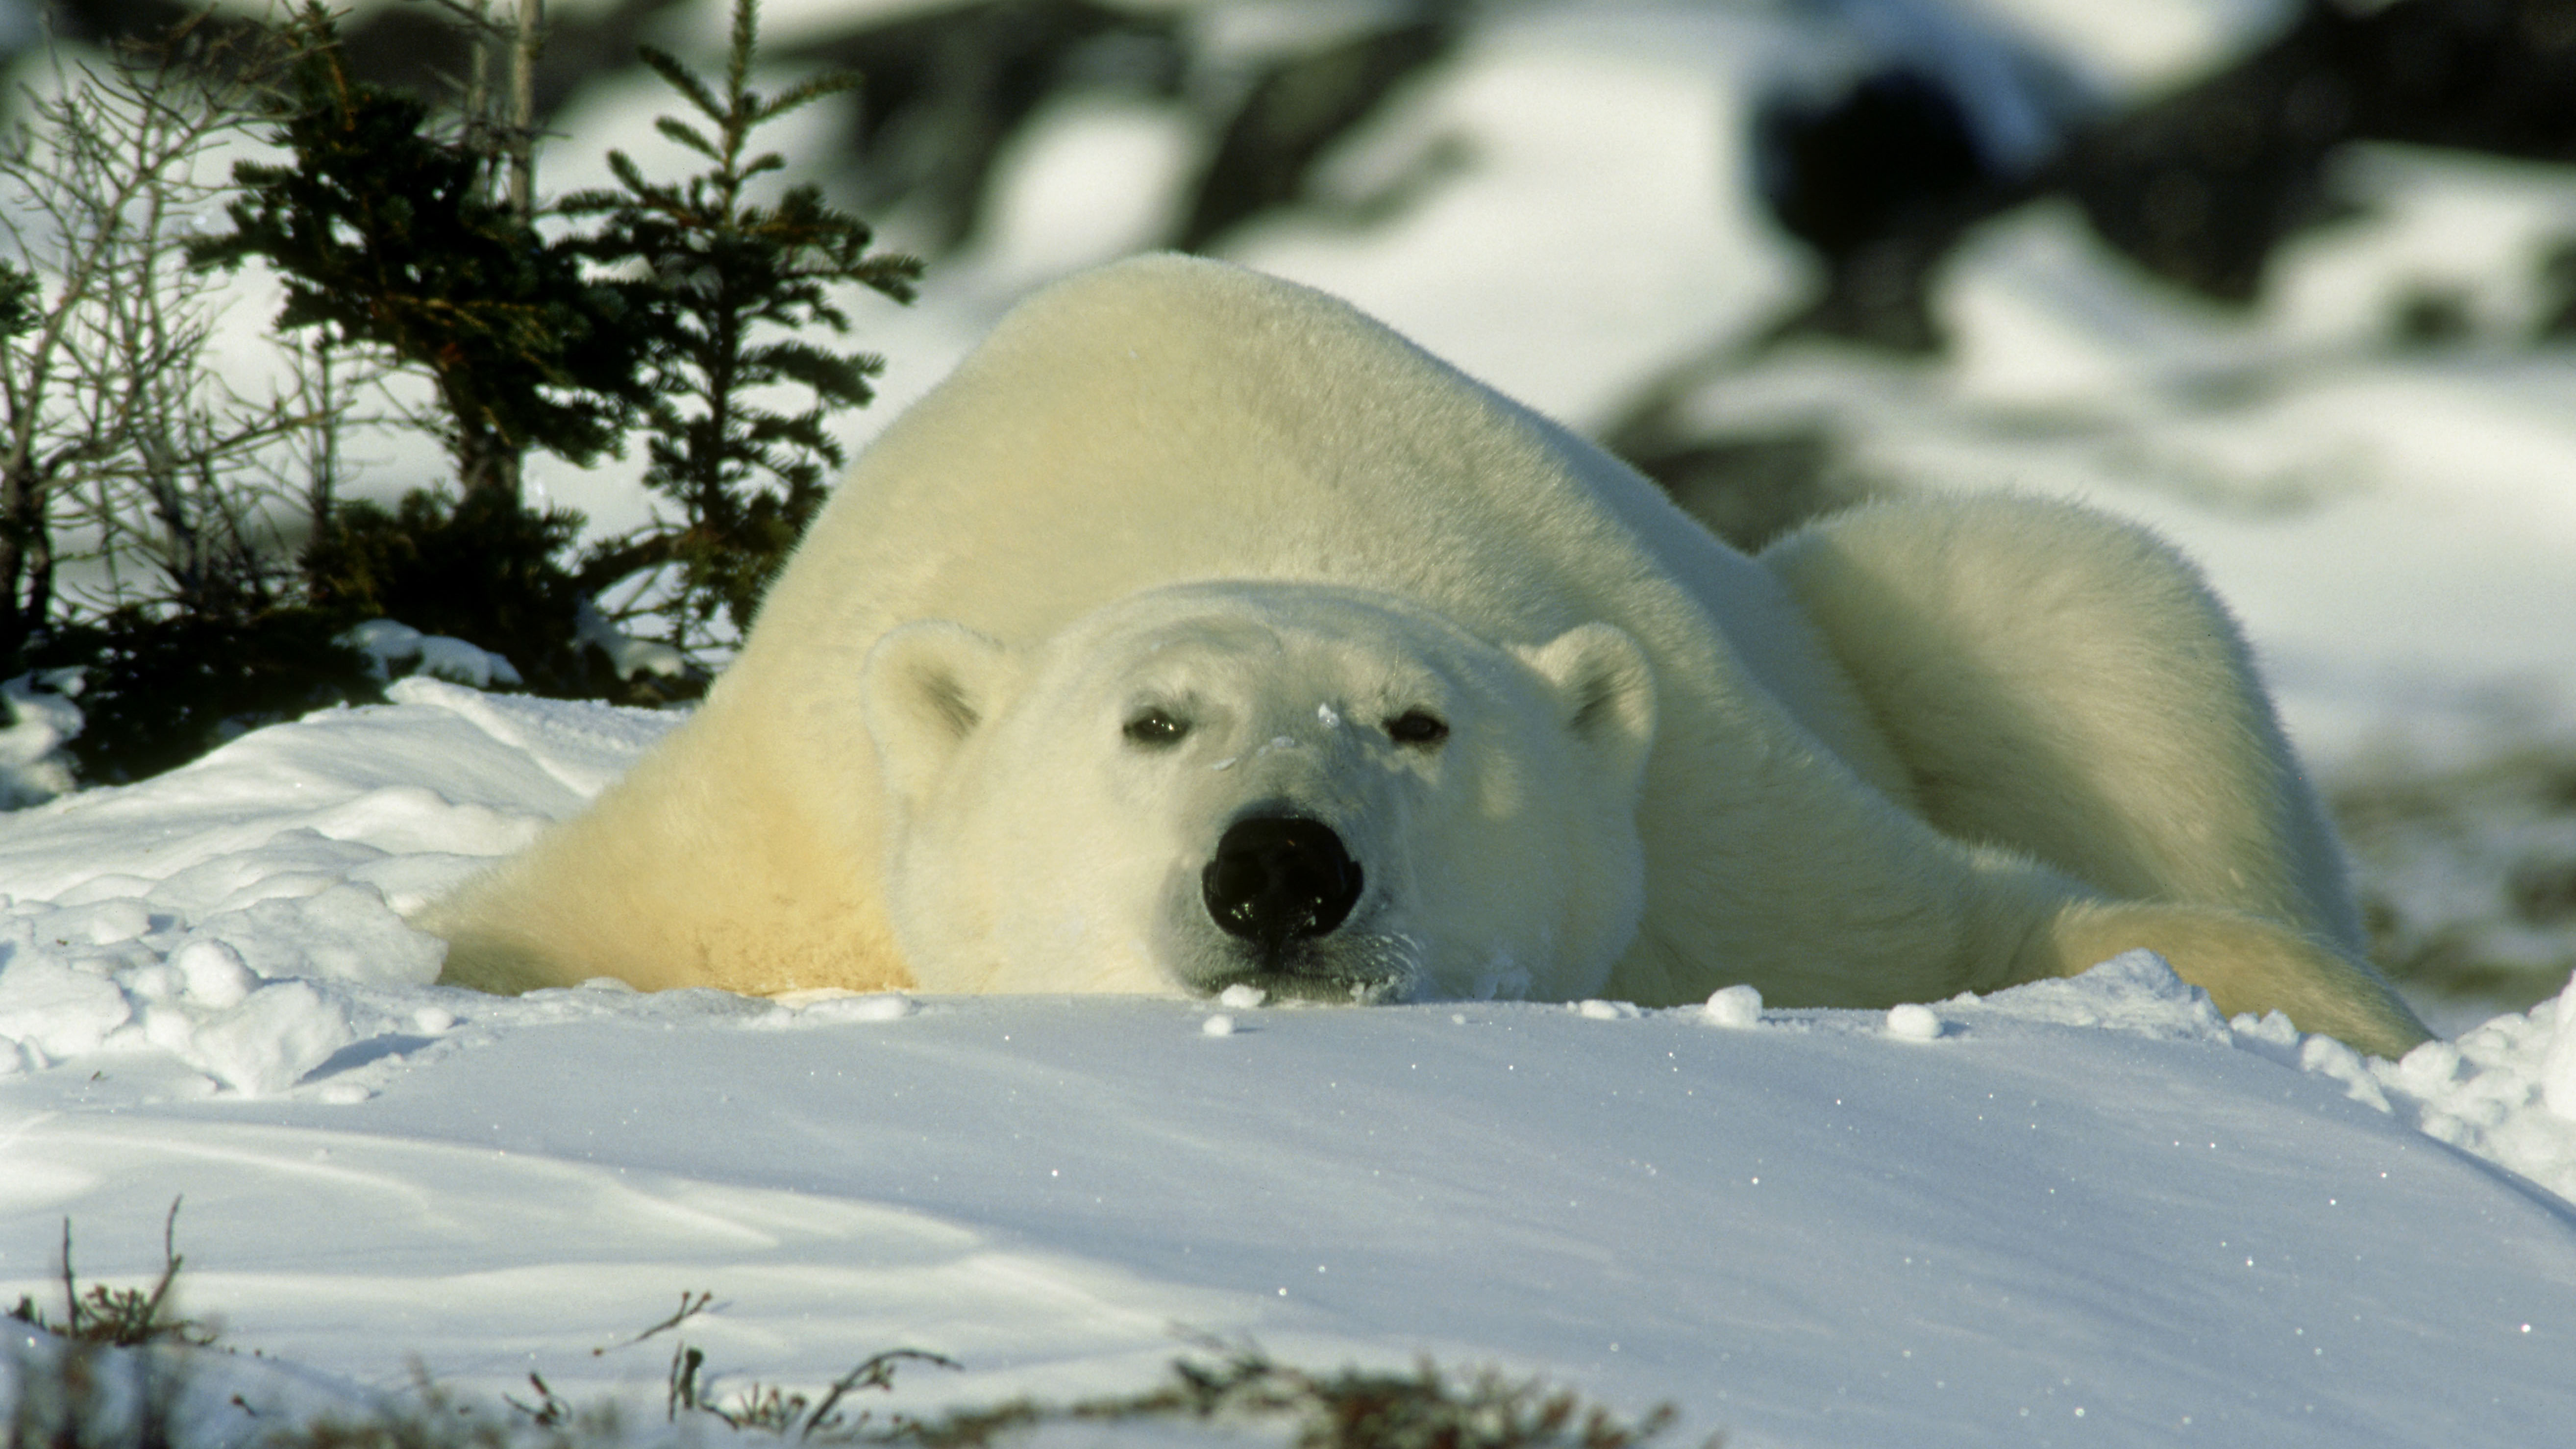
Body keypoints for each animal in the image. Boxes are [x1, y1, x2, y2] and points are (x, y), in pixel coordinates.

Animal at [424, 253, 2431, 1058]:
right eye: (1153, 722)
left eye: (1417, 721)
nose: (1279, 870)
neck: (1220, 492)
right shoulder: (793, 823)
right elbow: (535, 925)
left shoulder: (1716, 831)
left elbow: (1978, 925)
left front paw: (2358, 1036)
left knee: (2077, 599)